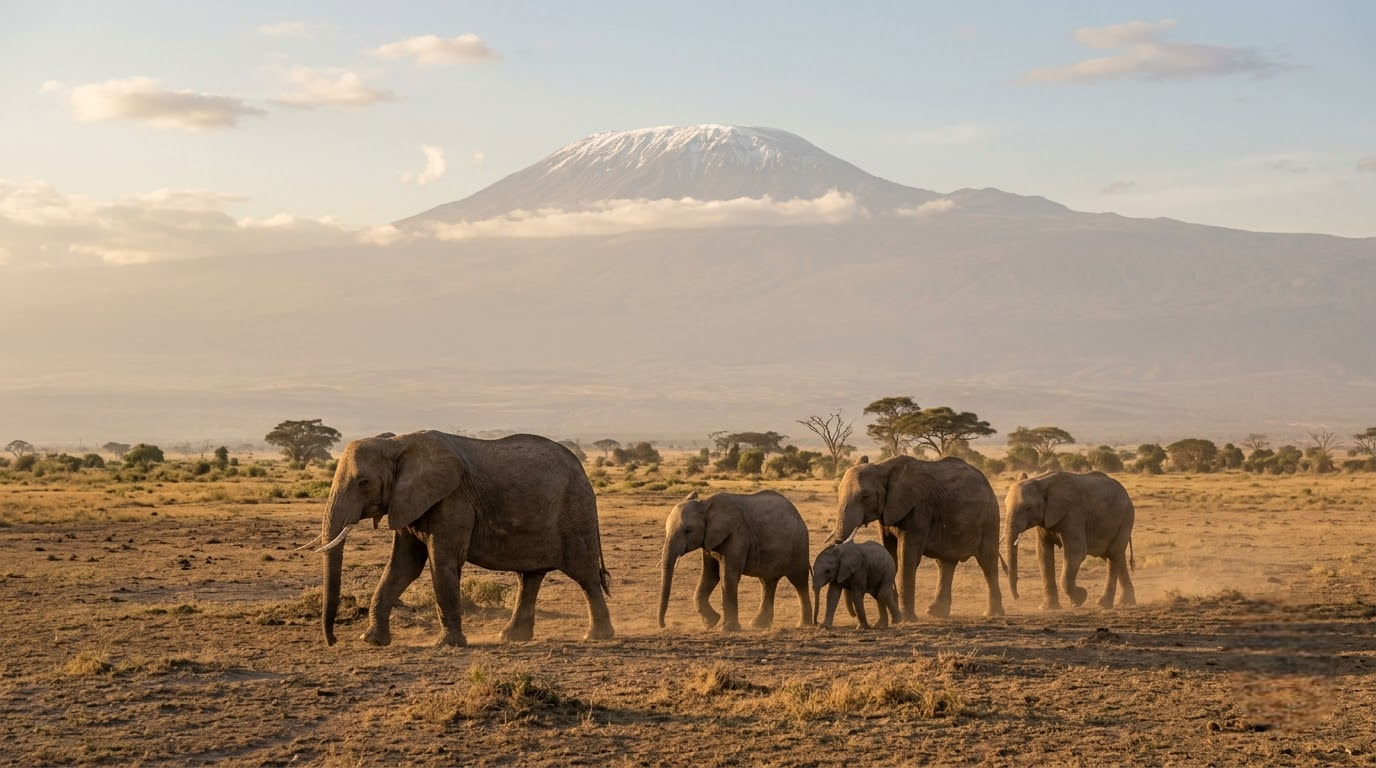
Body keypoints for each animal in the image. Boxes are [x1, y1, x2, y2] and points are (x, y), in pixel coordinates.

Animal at [303, 430, 614, 647]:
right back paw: (511, 637)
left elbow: (443, 562)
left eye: (363, 483)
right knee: (529, 577)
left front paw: (448, 645)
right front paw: (372, 641)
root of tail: (583, 471)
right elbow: (403, 566)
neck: (398, 443)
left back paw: (596, 637)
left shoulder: (452, 500)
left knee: (585, 575)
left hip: (575, 512)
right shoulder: (407, 501)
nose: (333, 641)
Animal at [657, 490, 812, 631]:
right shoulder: (709, 540)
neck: (706, 505)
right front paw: (711, 623)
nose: (663, 625)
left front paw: (727, 628)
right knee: (767, 582)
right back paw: (758, 625)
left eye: (688, 531)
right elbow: (710, 575)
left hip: (799, 543)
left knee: (799, 580)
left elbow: (728, 575)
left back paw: (803, 625)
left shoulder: (737, 535)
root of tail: (797, 513)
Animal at [829, 455, 1004, 620]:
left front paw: (907, 619)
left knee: (987, 561)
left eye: (865, 496)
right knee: (945, 563)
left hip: (990, 517)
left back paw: (992, 614)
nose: (853, 615)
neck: (882, 468)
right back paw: (936, 613)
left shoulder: (919, 509)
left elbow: (907, 557)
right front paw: (895, 615)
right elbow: (891, 555)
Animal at [1003, 471, 1136, 610]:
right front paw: (1048, 608)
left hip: (1127, 517)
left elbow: (1076, 553)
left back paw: (1104, 604)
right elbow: (1043, 555)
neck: (1041, 481)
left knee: (1113, 554)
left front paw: (1079, 599)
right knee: (1115, 557)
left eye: (1029, 508)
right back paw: (1126, 602)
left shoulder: (1073, 514)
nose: (1017, 597)